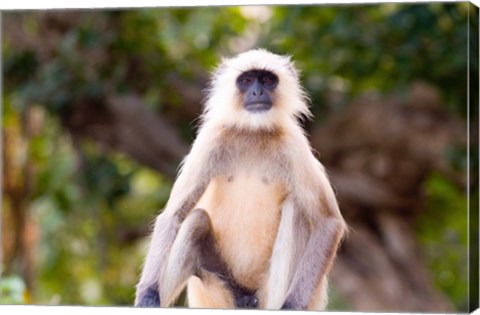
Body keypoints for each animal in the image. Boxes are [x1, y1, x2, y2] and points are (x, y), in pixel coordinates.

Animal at [134, 49, 344, 312]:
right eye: (246, 80)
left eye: (267, 80)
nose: (257, 92)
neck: (253, 132)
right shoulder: (211, 138)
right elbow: (173, 215)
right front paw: (147, 295)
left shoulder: (294, 143)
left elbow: (328, 222)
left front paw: (292, 306)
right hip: (214, 292)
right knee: (196, 221)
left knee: (295, 210)